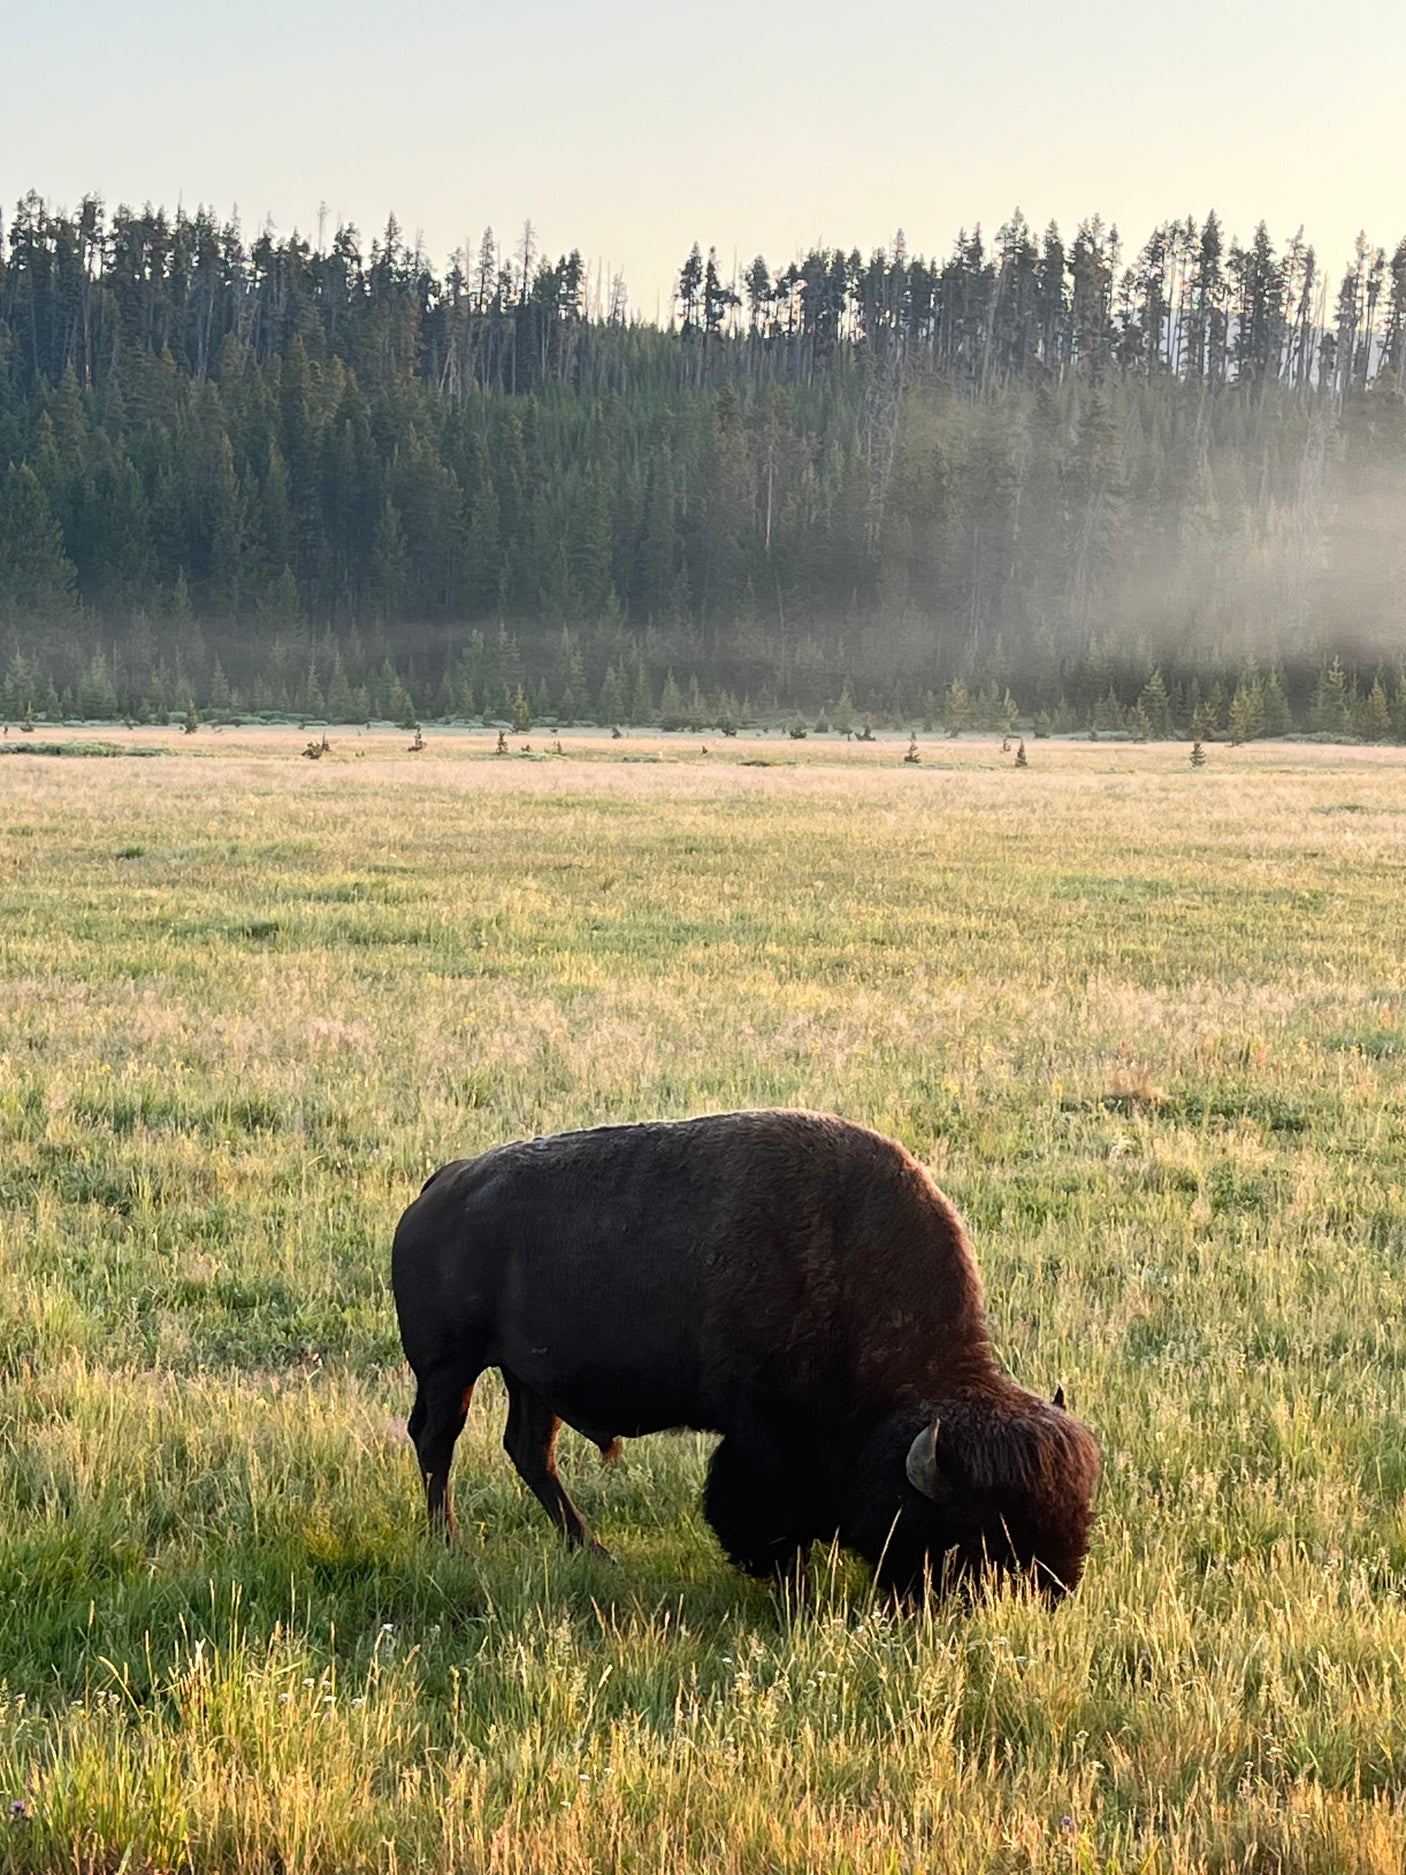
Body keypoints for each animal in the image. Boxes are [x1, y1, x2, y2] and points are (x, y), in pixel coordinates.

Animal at [391, 1109, 1099, 1599]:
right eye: (979, 1531)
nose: (1053, 1591)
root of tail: (441, 1185)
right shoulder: (763, 1434)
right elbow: (764, 1511)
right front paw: (795, 1585)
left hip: (529, 1379)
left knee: (530, 1452)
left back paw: (593, 1552)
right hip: (451, 1367)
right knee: (438, 1441)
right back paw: (449, 1544)